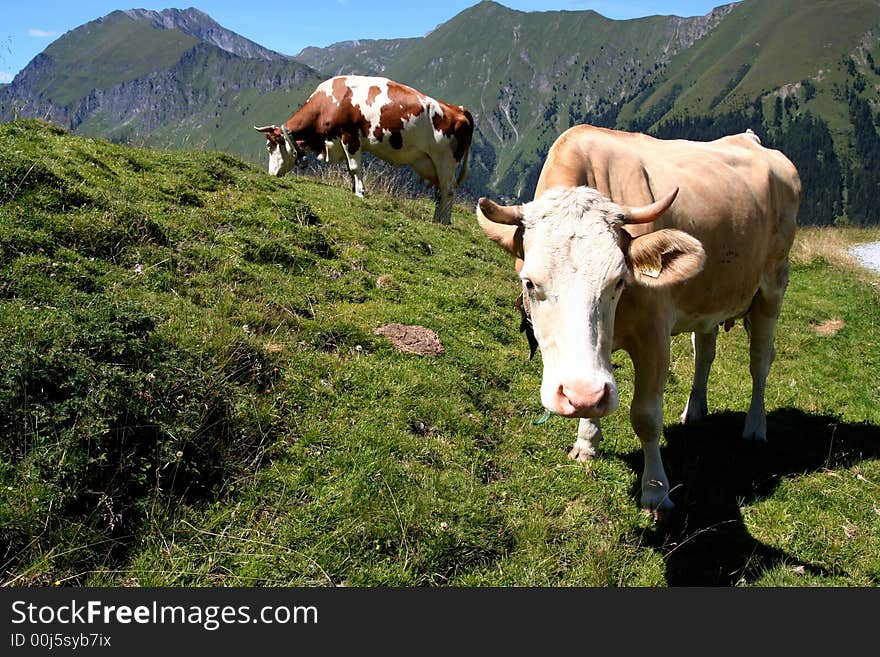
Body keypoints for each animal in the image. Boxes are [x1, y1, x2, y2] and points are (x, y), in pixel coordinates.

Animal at [254, 75, 474, 224]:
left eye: (269, 146)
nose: (270, 174)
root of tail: (458, 109)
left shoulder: (349, 136)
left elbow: (354, 168)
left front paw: (360, 192)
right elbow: (351, 170)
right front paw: (354, 189)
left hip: (445, 160)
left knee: (449, 189)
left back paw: (442, 221)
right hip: (433, 162)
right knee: (441, 191)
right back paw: (438, 217)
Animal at [478, 125, 800, 516]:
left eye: (619, 280)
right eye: (529, 282)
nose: (577, 395)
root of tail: (752, 139)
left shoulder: (654, 336)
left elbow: (646, 417)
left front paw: (656, 491)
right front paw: (586, 442)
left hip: (772, 285)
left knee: (760, 361)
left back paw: (754, 427)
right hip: (710, 299)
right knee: (704, 352)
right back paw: (695, 411)